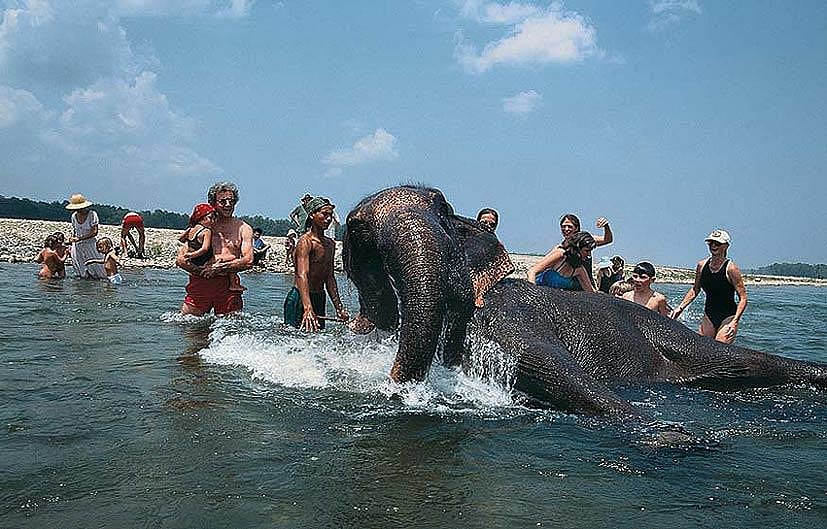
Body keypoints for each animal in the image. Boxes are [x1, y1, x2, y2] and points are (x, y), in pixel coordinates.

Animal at [343, 185, 826, 416]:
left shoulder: (509, 315)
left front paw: (672, 438)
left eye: (443, 211)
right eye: (358, 230)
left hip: (667, 331)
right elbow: (546, 369)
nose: (393, 384)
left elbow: (549, 364)